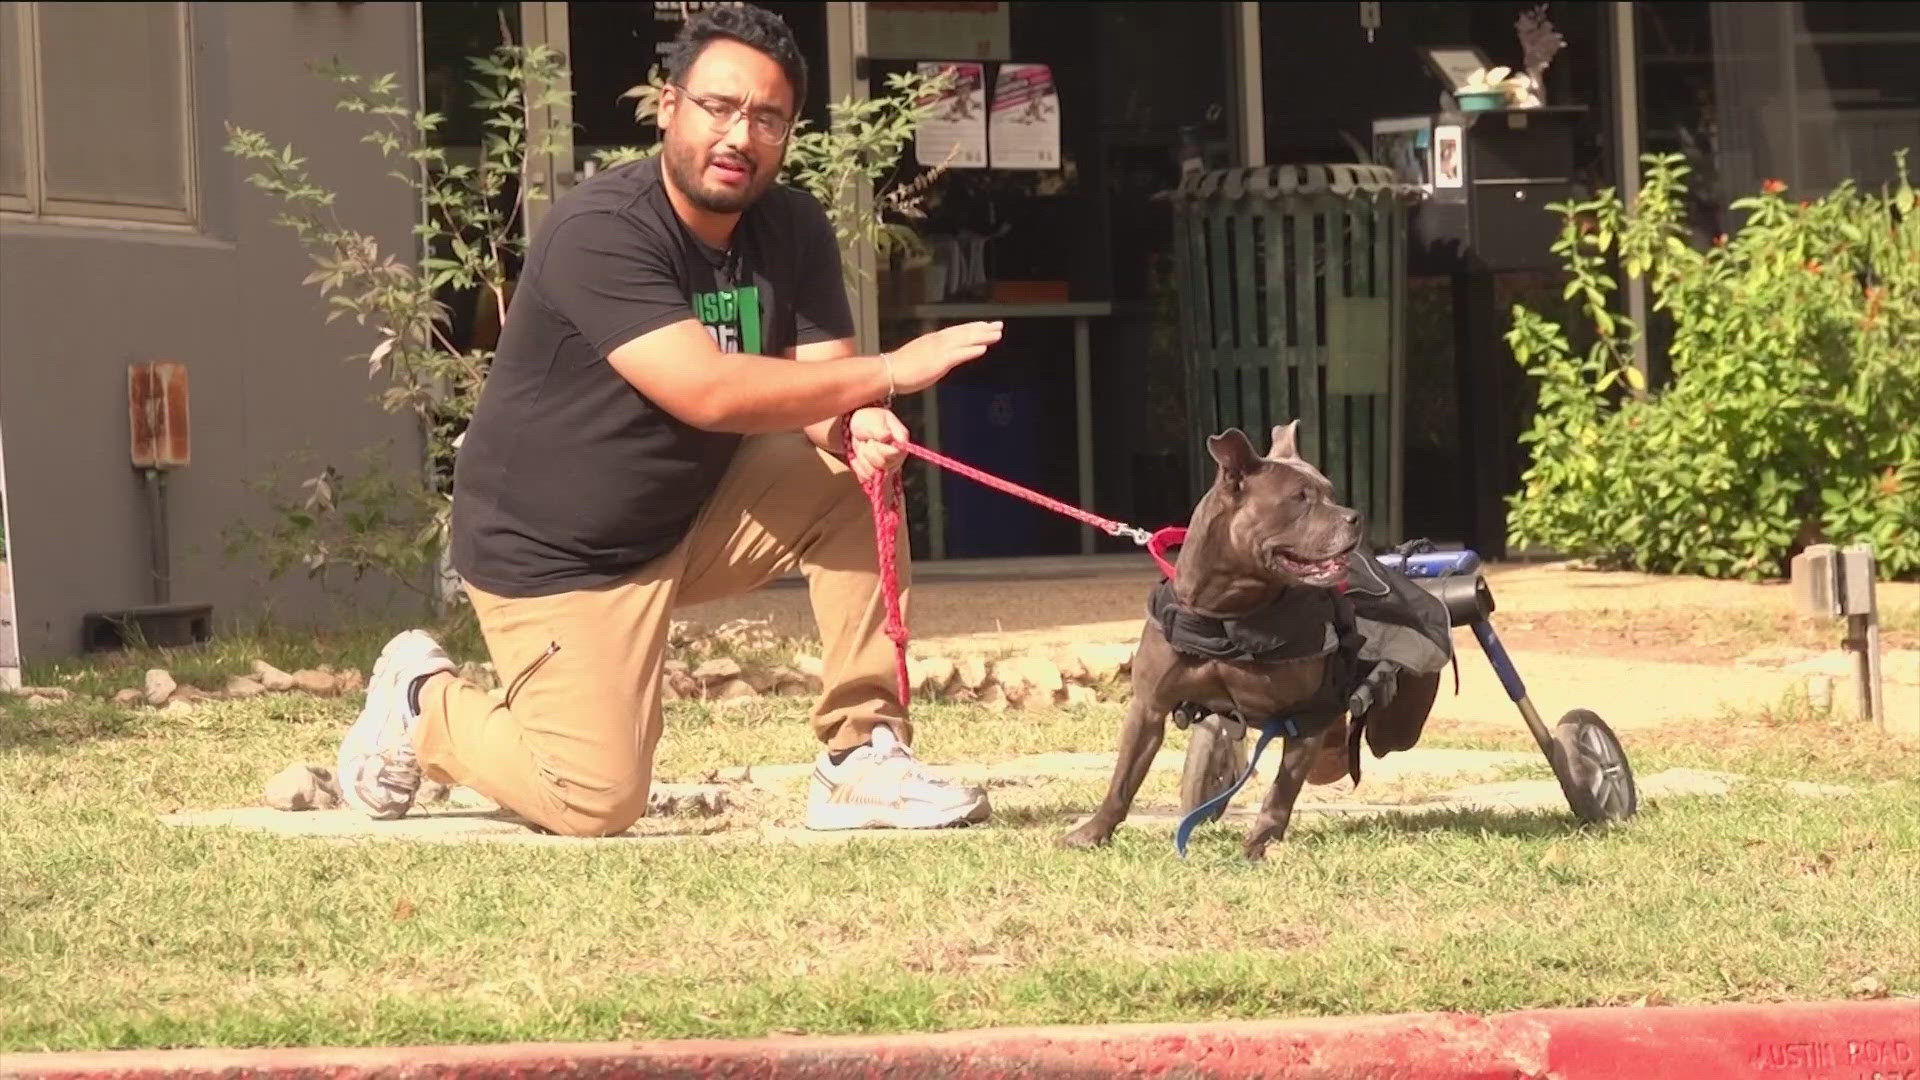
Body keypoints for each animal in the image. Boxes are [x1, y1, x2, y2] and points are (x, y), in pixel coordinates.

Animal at [1059, 418, 1374, 857]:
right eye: (1300, 498)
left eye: (1331, 493)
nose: (1355, 516)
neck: (1227, 612)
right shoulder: (1148, 707)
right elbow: (1123, 779)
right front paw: (1094, 830)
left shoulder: (1308, 715)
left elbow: (1282, 790)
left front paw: (1260, 843)